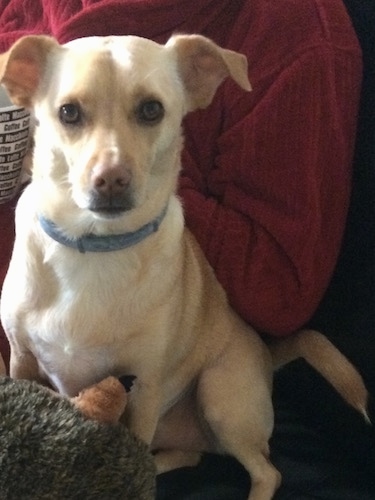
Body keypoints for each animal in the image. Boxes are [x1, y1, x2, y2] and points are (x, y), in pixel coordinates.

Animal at [0, 33, 370, 498]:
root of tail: (268, 356)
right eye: (68, 112)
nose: (111, 179)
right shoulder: (21, 360)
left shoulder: (145, 389)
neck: (95, 246)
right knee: (189, 455)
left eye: (151, 110)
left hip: (219, 396)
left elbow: (135, 444)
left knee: (267, 471)